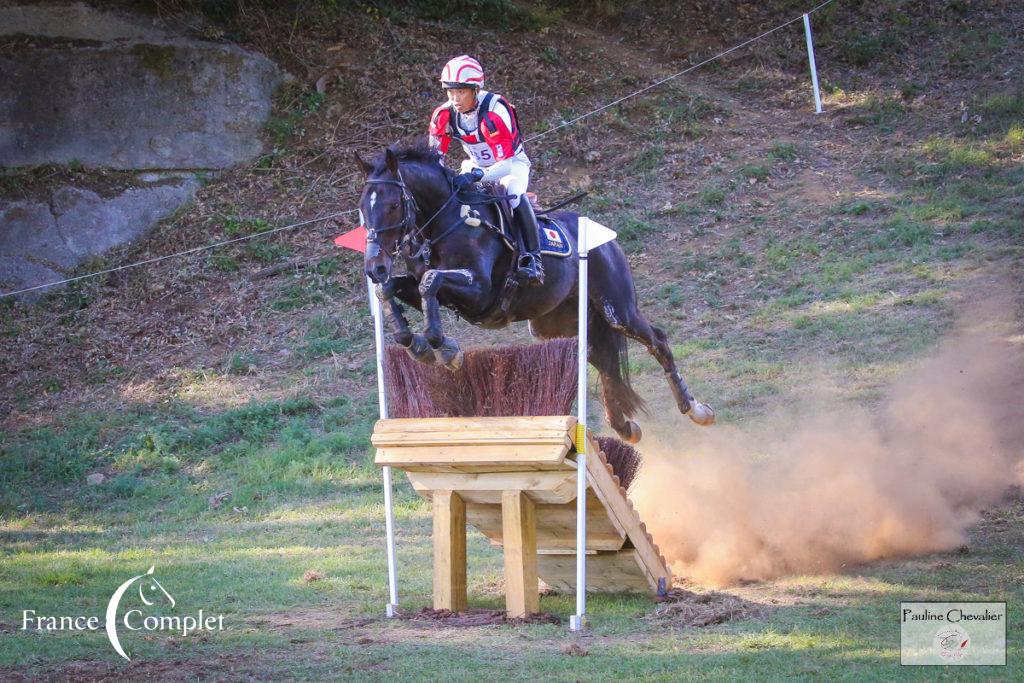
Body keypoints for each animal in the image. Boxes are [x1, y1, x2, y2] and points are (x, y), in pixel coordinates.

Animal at [354, 143, 712, 444]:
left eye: (392, 205)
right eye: (362, 209)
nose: (375, 267)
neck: (444, 221)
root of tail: (607, 238)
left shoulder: (480, 292)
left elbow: (430, 281)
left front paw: (444, 349)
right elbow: (393, 289)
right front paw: (415, 342)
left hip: (618, 309)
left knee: (657, 341)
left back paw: (696, 409)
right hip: (560, 324)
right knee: (602, 358)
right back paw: (624, 426)